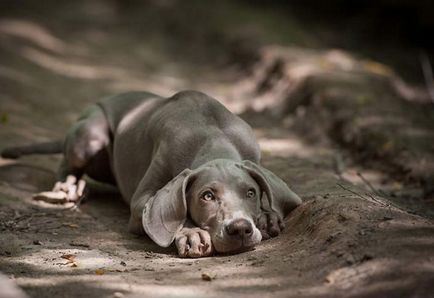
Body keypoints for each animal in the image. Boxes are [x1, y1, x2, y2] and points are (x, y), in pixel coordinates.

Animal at [1, 89, 302, 258]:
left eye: (251, 192)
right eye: (206, 196)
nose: (240, 229)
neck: (214, 136)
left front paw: (267, 217)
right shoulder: (141, 199)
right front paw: (191, 234)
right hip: (89, 136)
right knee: (67, 164)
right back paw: (68, 188)